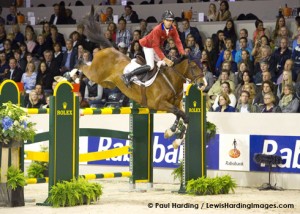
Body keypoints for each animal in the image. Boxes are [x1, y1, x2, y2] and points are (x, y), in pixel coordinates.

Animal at [79, 5, 204, 134]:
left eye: (202, 65)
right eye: (194, 67)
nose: (202, 84)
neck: (171, 79)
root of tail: (109, 49)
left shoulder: (176, 103)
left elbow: (180, 113)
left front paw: (172, 130)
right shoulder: (159, 104)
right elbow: (179, 113)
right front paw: (174, 130)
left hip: (107, 83)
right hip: (95, 74)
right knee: (84, 67)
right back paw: (79, 66)